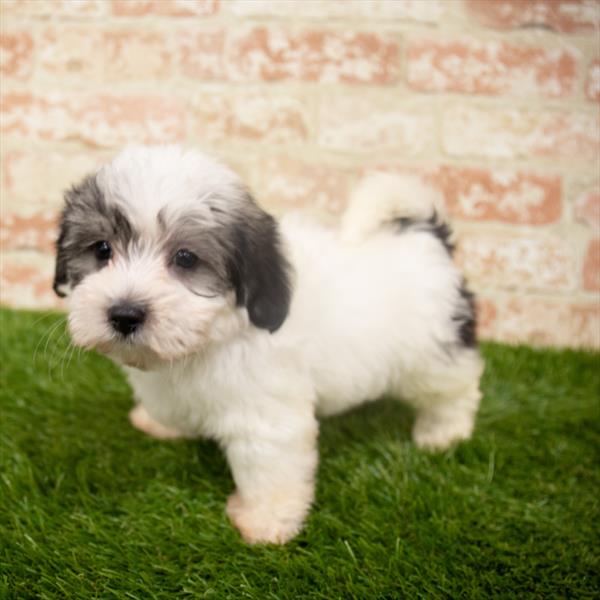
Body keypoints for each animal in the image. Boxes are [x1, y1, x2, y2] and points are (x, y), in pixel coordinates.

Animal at [54, 144, 486, 544]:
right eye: (102, 249)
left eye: (186, 258)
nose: (124, 314)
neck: (215, 335)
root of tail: (427, 240)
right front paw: (158, 422)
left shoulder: (266, 415)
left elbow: (267, 468)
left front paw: (265, 522)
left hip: (433, 355)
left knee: (455, 390)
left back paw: (443, 432)